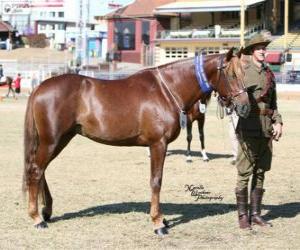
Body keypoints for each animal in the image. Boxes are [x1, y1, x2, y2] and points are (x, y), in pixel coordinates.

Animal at [22, 48, 250, 234]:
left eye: (244, 73)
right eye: (231, 74)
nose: (245, 107)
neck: (167, 90)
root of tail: (40, 87)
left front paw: (162, 219)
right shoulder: (158, 144)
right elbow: (156, 181)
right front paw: (158, 223)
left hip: (60, 140)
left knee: (41, 171)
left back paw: (46, 211)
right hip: (52, 141)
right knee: (35, 171)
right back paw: (37, 218)